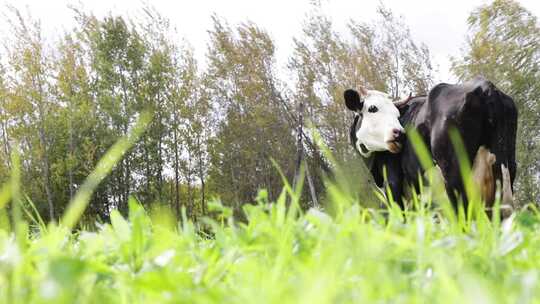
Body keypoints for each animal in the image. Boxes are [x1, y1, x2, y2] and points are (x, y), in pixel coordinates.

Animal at [344, 76, 516, 210]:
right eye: (373, 108)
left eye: (397, 114)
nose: (400, 134)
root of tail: (486, 87)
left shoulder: (393, 186)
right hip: (505, 168)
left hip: (454, 175)